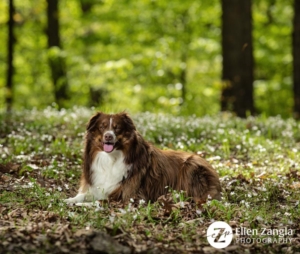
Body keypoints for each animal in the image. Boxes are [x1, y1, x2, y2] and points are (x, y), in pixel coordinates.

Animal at [65, 112, 220, 205]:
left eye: (117, 128)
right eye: (102, 127)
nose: (108, 136)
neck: (111, 159)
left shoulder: (128, 196)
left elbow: (99, 201)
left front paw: (81, 205)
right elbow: (82, 195)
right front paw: (70, 200)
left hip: (191, 166)